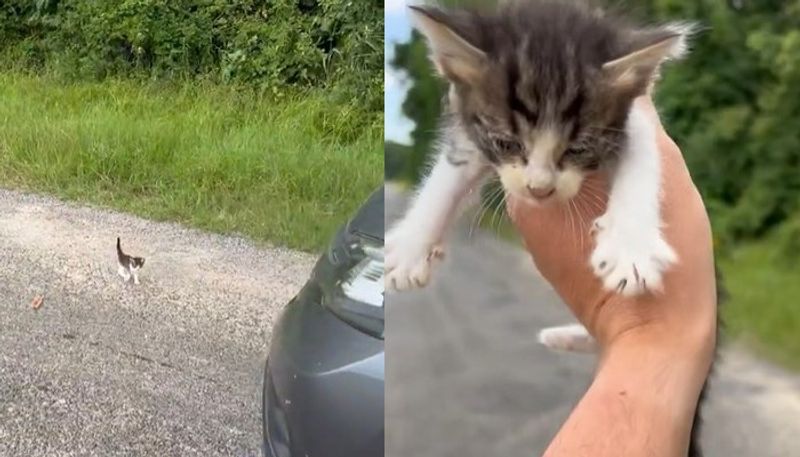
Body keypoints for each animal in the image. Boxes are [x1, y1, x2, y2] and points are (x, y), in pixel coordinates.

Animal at [388, 1, 708, 454]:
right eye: (506, 143)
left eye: (578, 149)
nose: (539, 188)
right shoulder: (469, 127)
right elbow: (450, 170)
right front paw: (412, 246)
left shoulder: (635, 119)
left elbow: (643, 161)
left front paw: (630, 248)